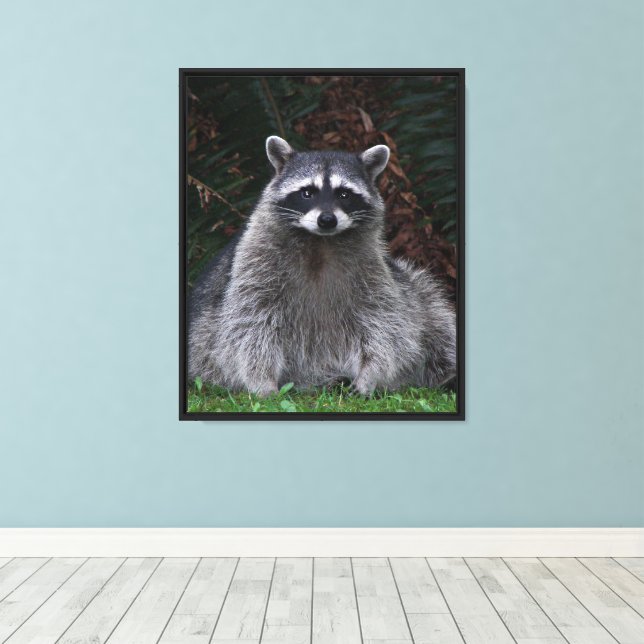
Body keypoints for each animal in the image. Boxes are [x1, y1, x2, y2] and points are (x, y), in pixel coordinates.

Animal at [188, 136, 456, 396]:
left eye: (344, 194)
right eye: (307, 192)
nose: (327, 220)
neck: (321, 242)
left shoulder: (373, 268)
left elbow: (383, 321)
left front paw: (369, 373)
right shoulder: (254, 264)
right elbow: (250, 323)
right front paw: (262, 379)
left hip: (413, 287)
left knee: (435, 317)